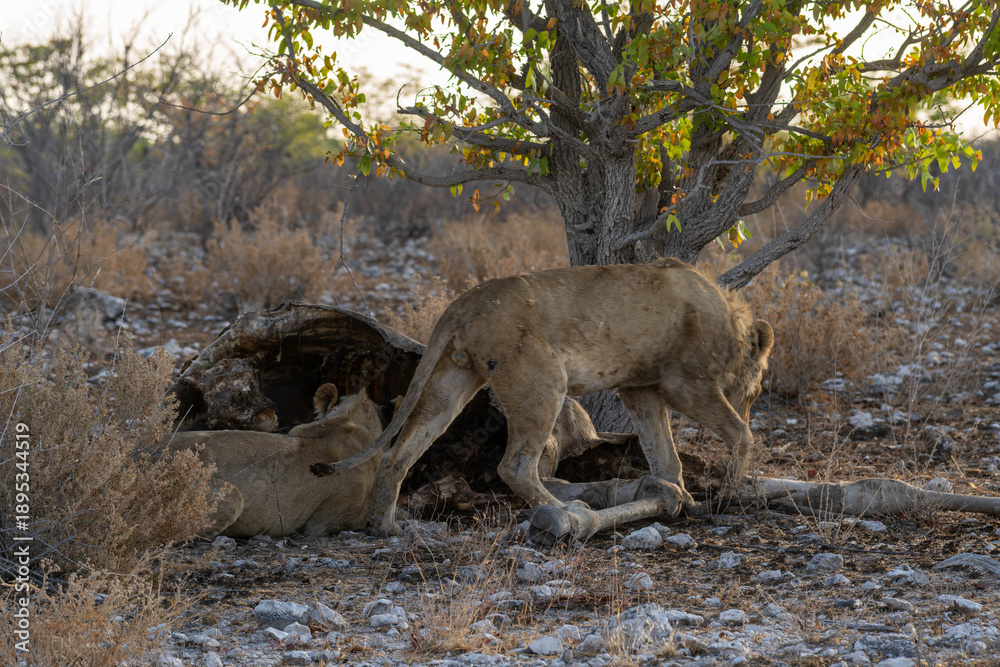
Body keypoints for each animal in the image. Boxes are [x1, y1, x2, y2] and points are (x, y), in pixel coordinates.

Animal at [313, 258, 773, 542]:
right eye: (755, 393)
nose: (751, 400)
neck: (729, 317)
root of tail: (464, 302)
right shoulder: (686, 384)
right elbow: (742, 434)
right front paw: (731, 491)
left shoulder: (638, 387)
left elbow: (664, 454)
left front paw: (677, 496)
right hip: (542, 379)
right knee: (514, 466)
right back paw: (568, 512)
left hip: (452, 380)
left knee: (399, 453)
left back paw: (386, 525)